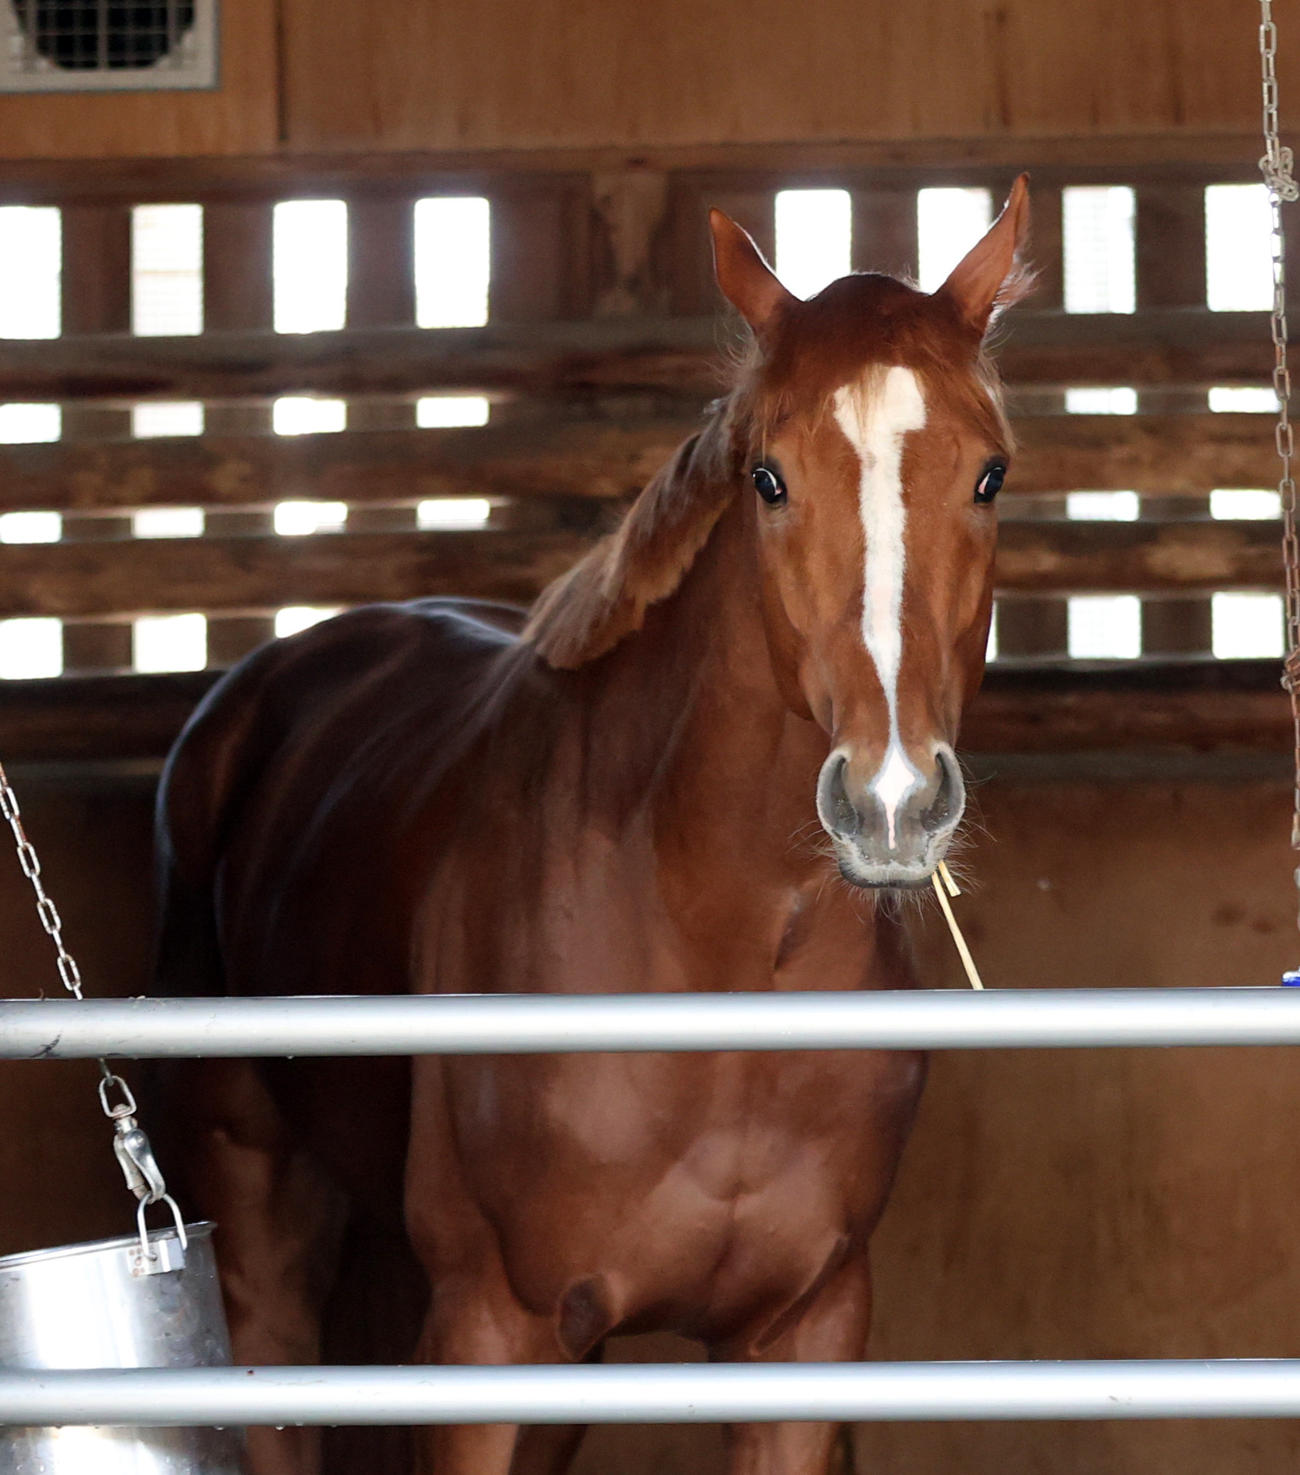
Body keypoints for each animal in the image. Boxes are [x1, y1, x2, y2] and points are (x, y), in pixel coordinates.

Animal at [154, 175, 1031, 1475]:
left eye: (989, 476)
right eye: (768, 477)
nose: (890, 797)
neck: (715, 949)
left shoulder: (804, 1337)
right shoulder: (482, 1334)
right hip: (256, 1217)